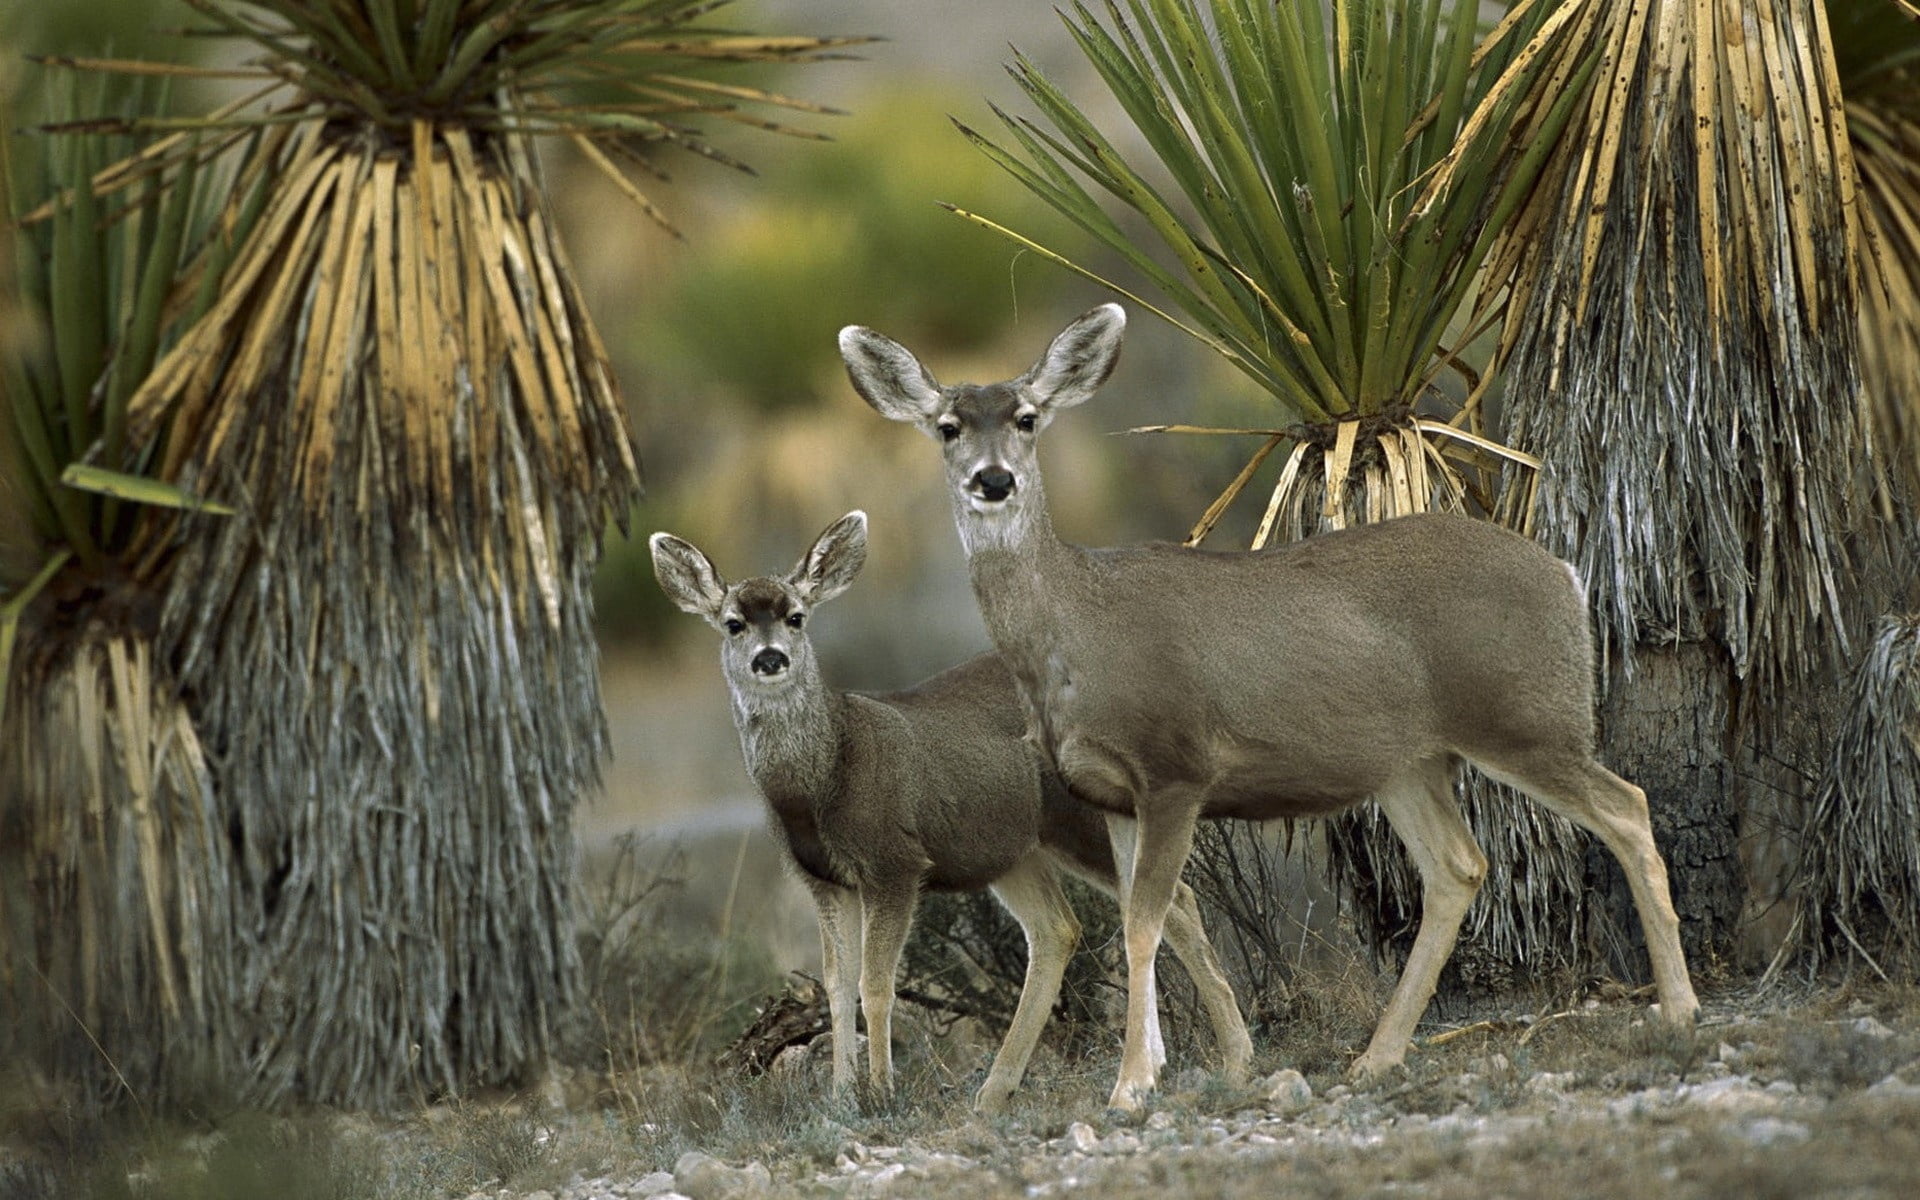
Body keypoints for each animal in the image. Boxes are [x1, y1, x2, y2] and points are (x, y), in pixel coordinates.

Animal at [648, 511, 1252, 1112]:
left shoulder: (894, 862)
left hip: (1083, 820)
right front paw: (841, 1097)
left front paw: (881, 1092)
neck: (825, 776)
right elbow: (836, 986)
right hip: (1012, 850)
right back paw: (998, 1089)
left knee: (1173, 899)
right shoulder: (822, 880)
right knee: (1059, 927)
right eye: (733, 623)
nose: (770, 658)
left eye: (796, 617)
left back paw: (1232, 1058)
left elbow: (875, 985)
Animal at [840, 303, 1702, 1112]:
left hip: (1524, 716)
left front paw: (1130, 1084)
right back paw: (1377, 1056)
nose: (993, 480)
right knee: (1459, 867)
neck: (1077, 632)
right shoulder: (1110, 792)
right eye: (948, 427)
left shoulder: (1177, 765)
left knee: (1626, 807)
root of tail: (1566, 574)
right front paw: (1174, 1068)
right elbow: (1154, 917)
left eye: (1025, 417)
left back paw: (1680, 1009)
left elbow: (1145, 921)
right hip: (1409, 761)